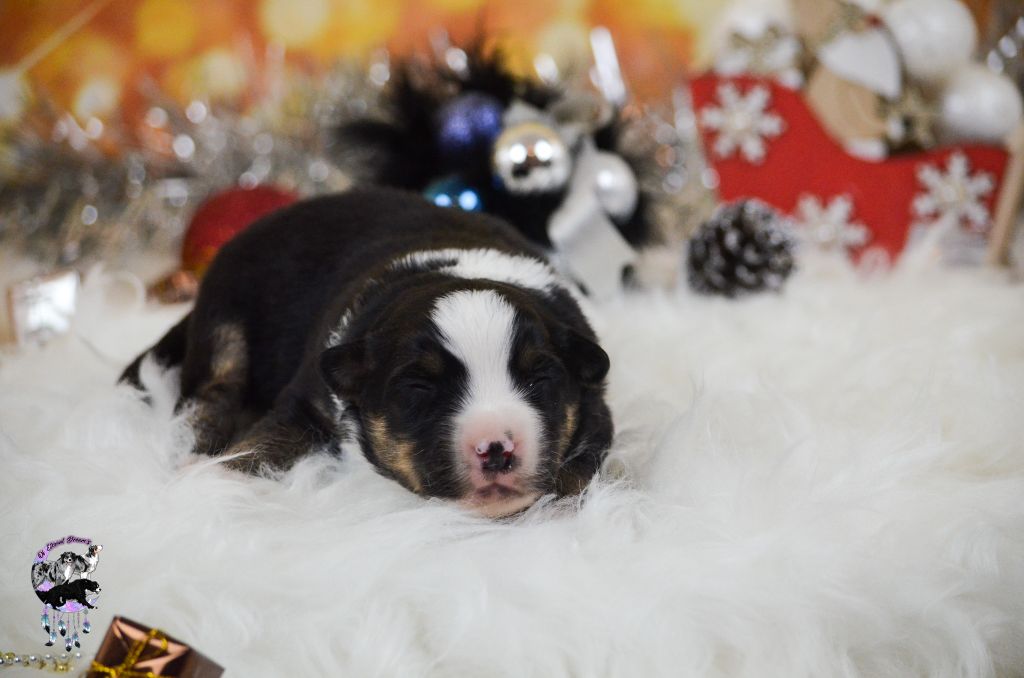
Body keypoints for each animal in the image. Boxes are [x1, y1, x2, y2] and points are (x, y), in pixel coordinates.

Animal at [122, 188, 613, 518]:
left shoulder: (597, 413)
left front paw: (560, 506)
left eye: (539, 379)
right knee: (210, 395)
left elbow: (580, 467)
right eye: (419, 389)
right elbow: (271, 437)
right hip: (226, 317)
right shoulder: (309, 397)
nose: (496, 448)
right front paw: (215, 478)